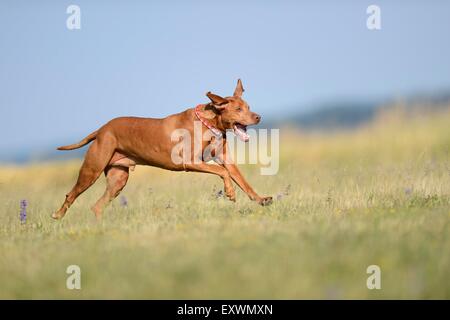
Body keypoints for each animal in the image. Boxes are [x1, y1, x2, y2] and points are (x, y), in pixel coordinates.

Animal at [51, 80, 272, 220]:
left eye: (248, 106)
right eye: (238, 110)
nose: (258, 117)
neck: (210, 124)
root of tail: (101, 129)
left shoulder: (226, 159)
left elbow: (243, 181)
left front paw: (260, 199)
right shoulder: (190, 162)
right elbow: (222, 172)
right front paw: (230, 192)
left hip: (118, 180)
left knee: (96, 206)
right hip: (92, 170)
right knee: (71, 195)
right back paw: (57, 215)